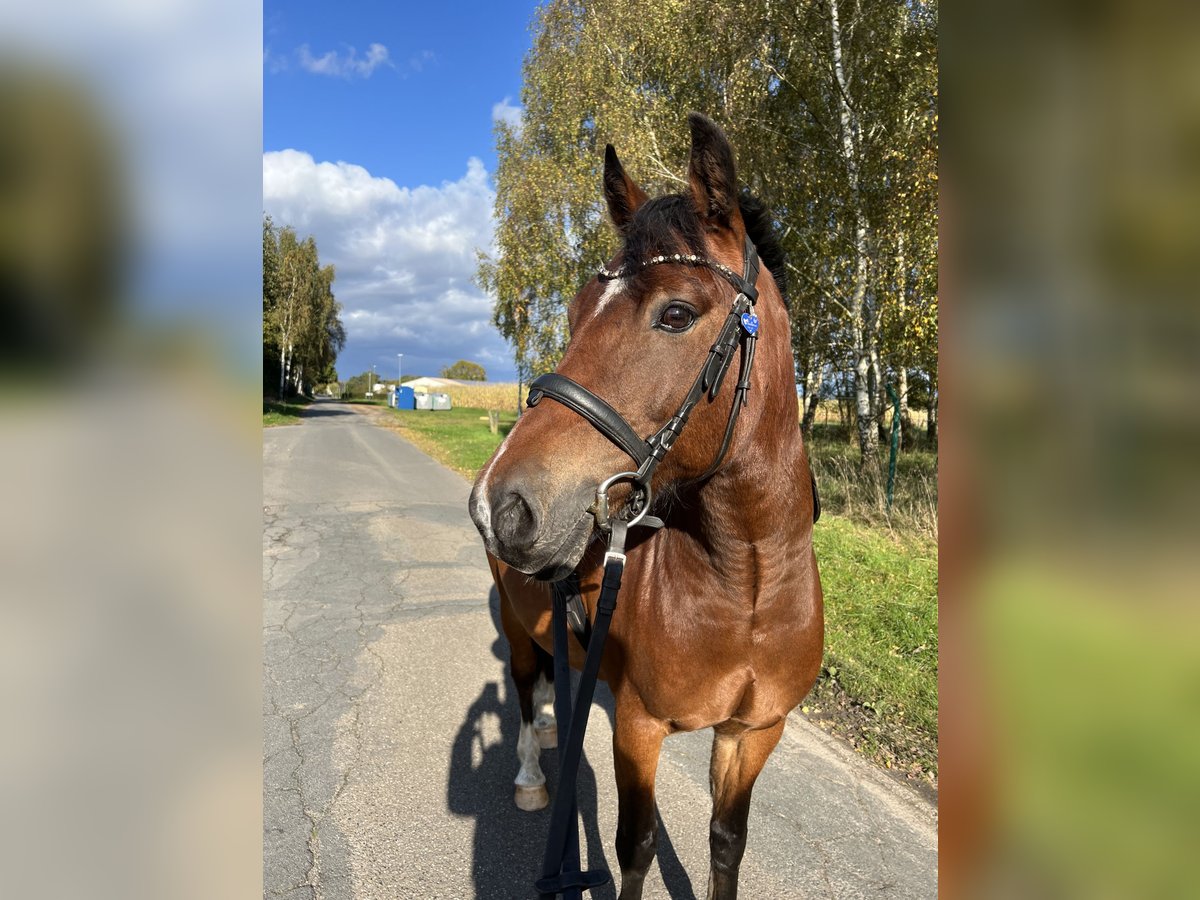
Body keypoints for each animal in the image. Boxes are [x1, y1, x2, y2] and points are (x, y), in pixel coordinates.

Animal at [470, 114, 825, 900]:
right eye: (575, 312)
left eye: (676, 314)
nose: (501, 505)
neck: (746, 587)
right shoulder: (638, 728)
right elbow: (634, 847)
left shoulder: (752, 735)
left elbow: (727, 844)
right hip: (513, 618)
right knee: (525, 686)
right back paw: (533, 771)